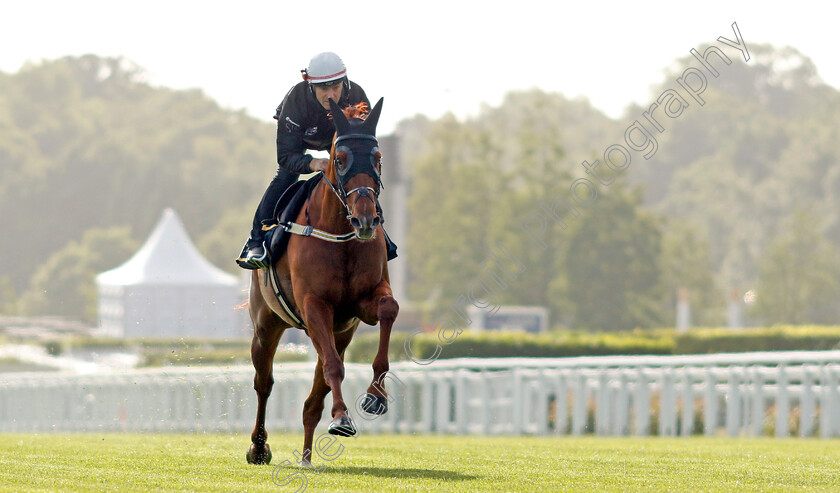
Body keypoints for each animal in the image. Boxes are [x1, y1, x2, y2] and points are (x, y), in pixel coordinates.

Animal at [246, 97, 398, 466]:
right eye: (339, 159)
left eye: (378, 157)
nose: (366, 219)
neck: (340, 233)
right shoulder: (314, 305)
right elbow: (333, 368)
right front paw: (342, 417)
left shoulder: (359, 306)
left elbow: (389, 309)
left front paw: (376, 397)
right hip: (266, 325)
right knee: (264, 383)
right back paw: (259, 447)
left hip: (339, 332)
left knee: (314, 396)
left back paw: (306, 455)